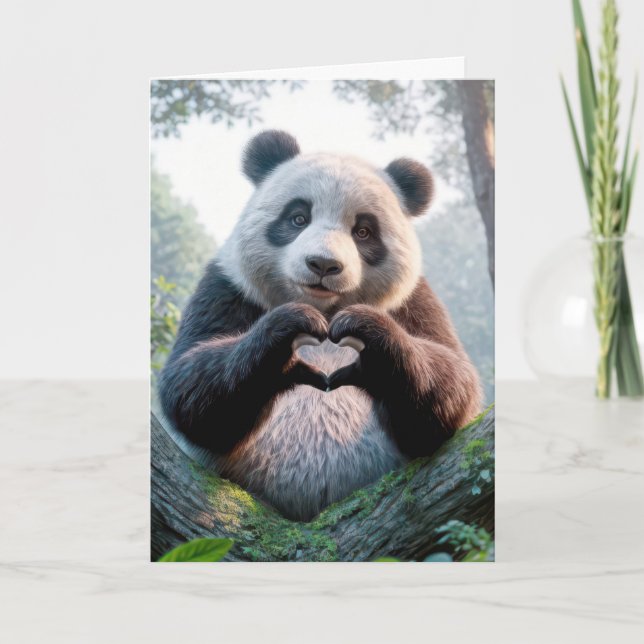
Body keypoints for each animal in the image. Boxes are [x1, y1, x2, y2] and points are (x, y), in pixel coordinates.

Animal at [159, 130, 482, 522]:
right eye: (298, 218)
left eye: (363, 231)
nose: (323, 264)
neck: (325, 311)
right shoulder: (226, 287)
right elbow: (191, 386)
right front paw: (287, 340)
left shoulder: (414, 302)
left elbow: (451, 387)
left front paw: (370, 348)